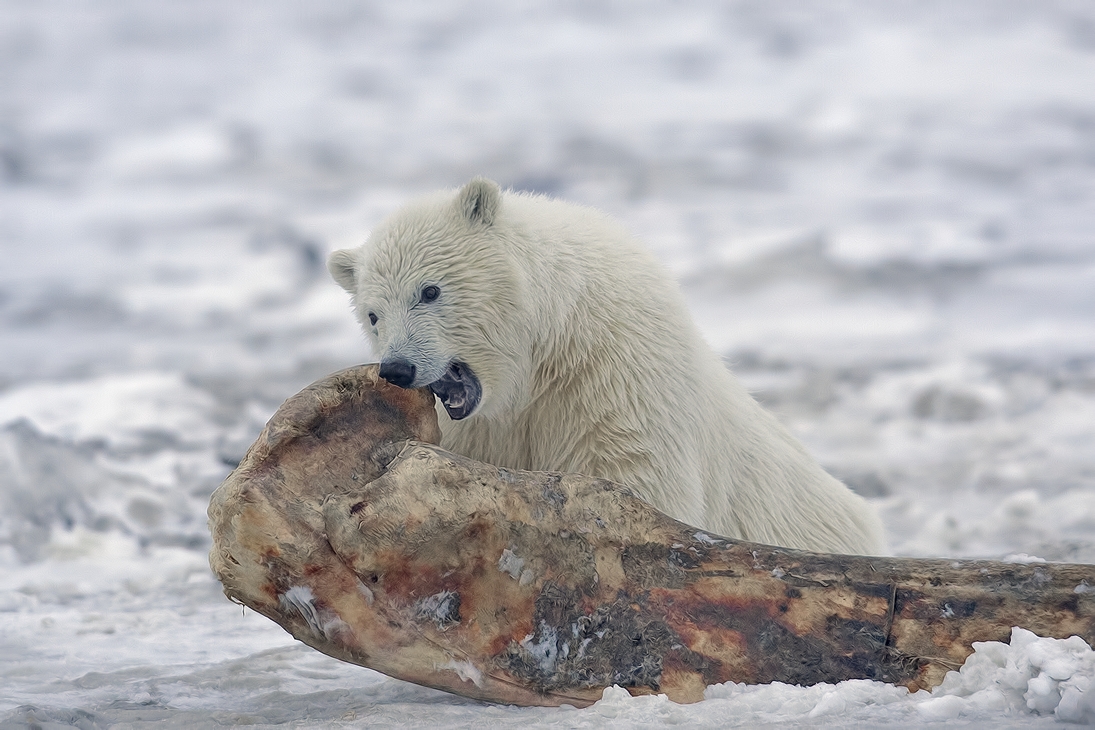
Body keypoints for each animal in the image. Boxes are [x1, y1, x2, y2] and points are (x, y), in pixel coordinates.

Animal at [328, 177, 884, 553]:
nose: (397, 369)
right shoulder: (479, 429)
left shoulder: (615, 375)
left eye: (430, 290)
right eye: (372, 314)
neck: (545, 349)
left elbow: (634, 479)